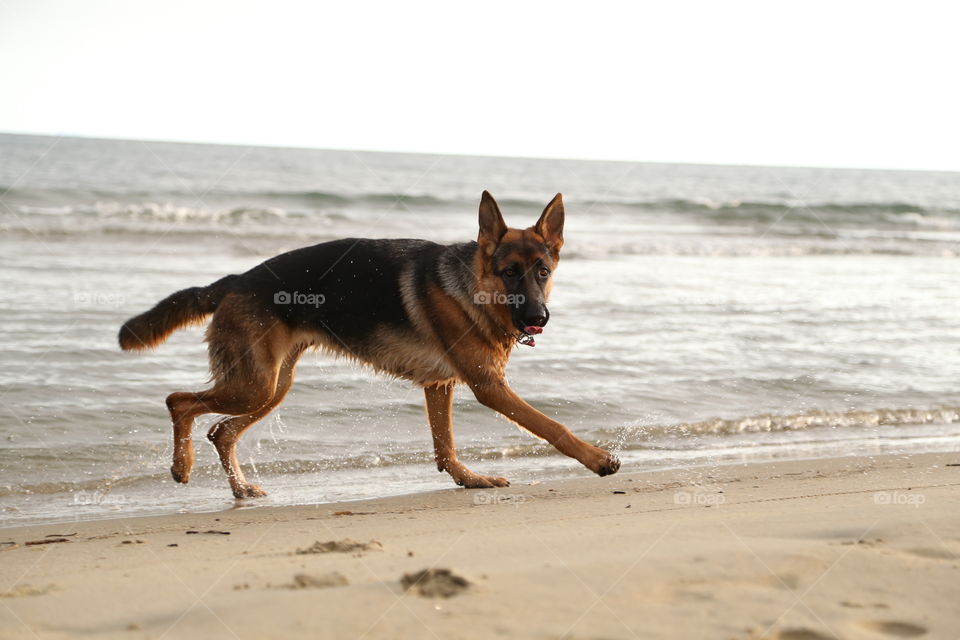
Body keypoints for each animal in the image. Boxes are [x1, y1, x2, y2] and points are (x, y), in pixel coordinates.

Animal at [118, 192, 624, 498]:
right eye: (510, 273)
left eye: (543, 272)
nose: (538, 318)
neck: (472, 289)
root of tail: (237, 280)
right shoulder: (488, 387)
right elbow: (552, 426)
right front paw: (598, 459)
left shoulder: (440, 386)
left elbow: (445, 447)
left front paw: (469, 480)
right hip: (254, 386)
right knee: (178, 401)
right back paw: (182, 467)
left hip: (271, 387)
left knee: (220, 430)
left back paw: (240, 488)